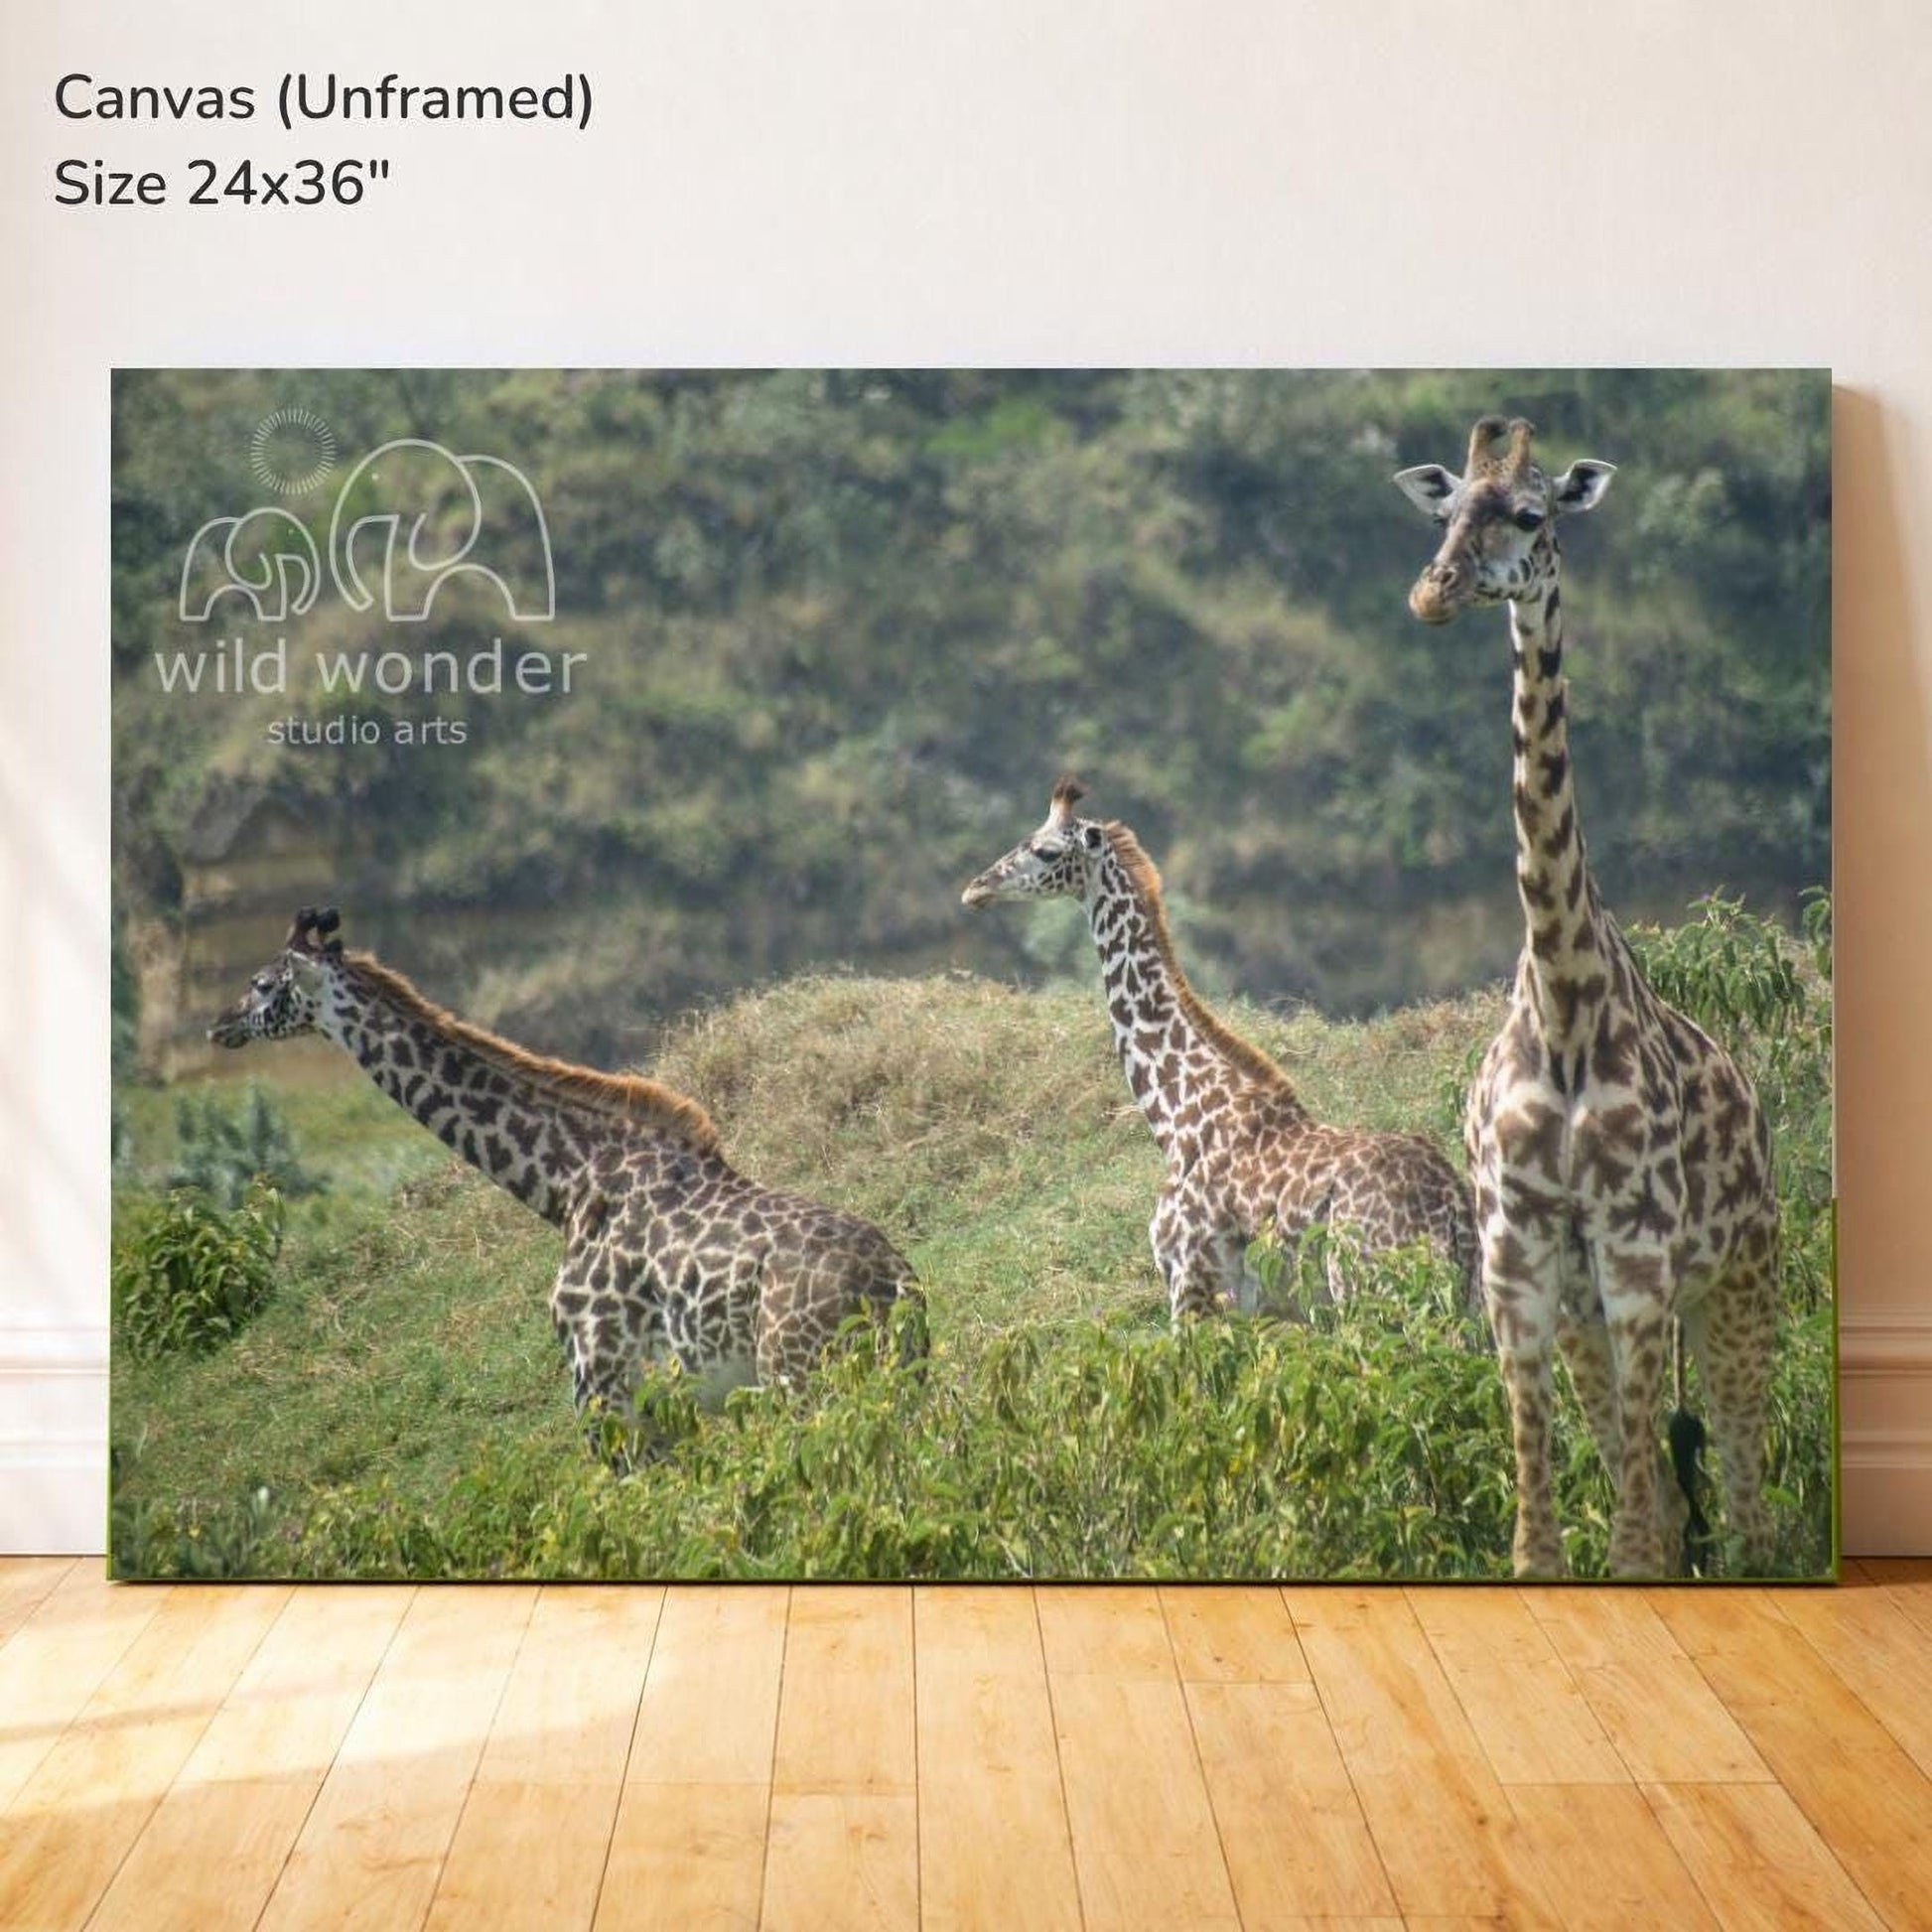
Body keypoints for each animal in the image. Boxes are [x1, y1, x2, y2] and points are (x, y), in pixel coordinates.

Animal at [207, 907, 924, 1450]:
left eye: (263, 983)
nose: (218, 1024)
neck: (566, 1180)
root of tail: (894, 1286)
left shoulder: (602, 1392)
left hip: (800, 1380)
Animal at [963, 781, 1480, 1327]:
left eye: (1045, 850)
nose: (976, 888)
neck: (1178, 1114)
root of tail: (1452, 1207)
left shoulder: (1192, 1280)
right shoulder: (1258, 1308)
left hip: (1367, 1289)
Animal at [1394, 415, 1781, 1577]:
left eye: (1529, 514)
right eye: (1445, 509)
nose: (1432, 592)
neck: (1563, 1004)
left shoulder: (1638, 1256)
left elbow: (1641, 1532)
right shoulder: (1517, 1256)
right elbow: (1543, 1524)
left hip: (1738, 1280)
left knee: (1743, 1490)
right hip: (1597, 1306)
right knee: (1656, 1465)